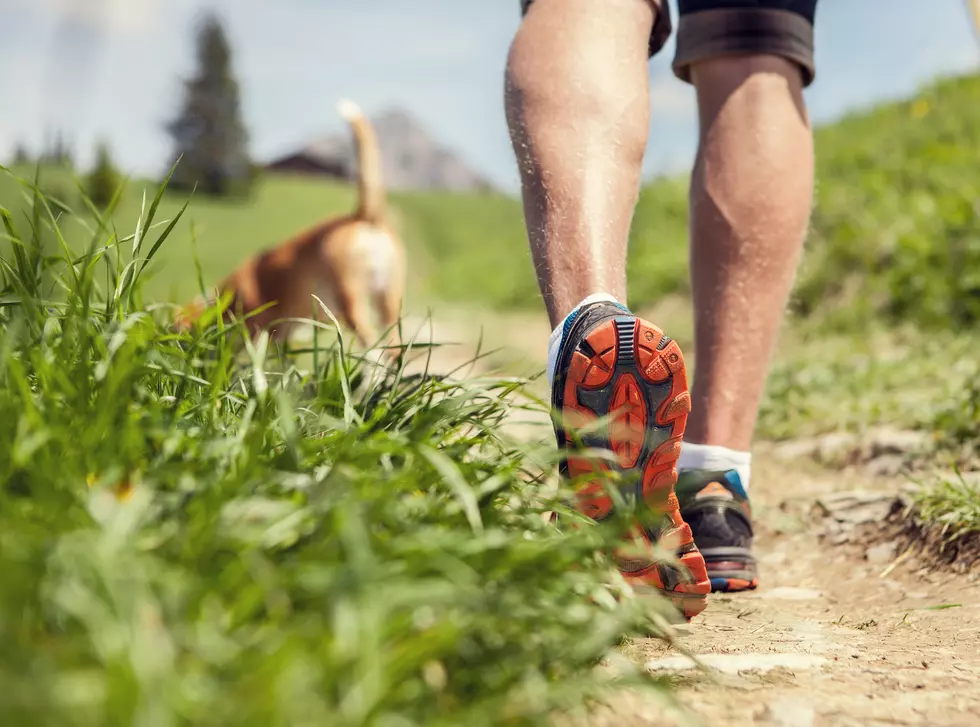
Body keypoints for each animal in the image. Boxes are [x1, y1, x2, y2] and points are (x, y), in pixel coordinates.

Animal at [177, 98, 406, 360]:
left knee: (372, 346)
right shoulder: (281, 335)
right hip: (388, 301)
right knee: (393, 346)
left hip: (351, 300)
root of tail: (362, 216)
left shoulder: (259, 331)